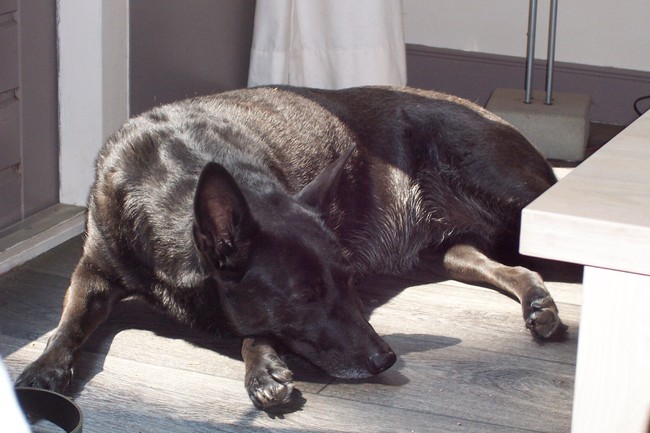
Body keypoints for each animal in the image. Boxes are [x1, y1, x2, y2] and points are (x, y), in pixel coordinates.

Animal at [17, 86, 566, 409]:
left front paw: (261, 365)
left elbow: (254, 328)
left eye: (350, 282)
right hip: (445, 250)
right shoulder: (94, 270)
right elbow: (68, 323)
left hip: (514, 202)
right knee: (498, 264)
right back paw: (537, 303)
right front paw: (44, 368)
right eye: (305, 296)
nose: (386, 359)